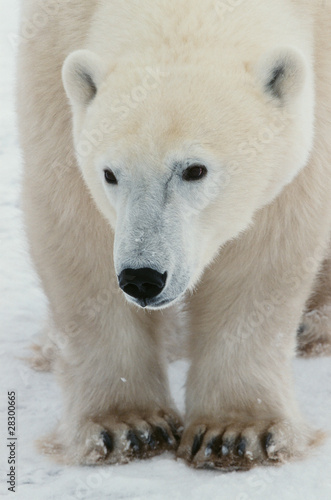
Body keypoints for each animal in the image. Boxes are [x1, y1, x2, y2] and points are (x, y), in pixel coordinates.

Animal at [17, 0, 331, 468]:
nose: (142, 278)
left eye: (194, 170)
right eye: (110, 173)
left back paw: (315, 327)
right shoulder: (51, 54)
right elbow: (75, 227)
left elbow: (270, 242)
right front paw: (127, 425)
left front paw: (236, 431)